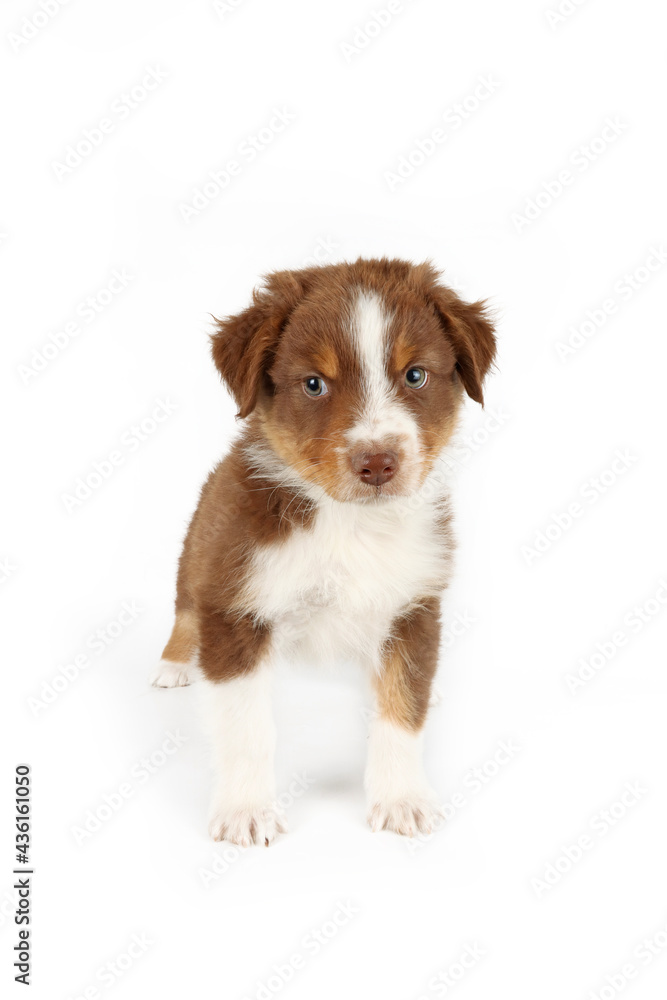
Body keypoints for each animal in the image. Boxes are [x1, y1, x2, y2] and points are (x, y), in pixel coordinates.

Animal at [151, 258, 496, 844]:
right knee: (184, 609)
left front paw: (401, 799)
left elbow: (401, 709)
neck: (349, 524)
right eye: (314, 384)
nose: (377, 463)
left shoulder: (413, 604)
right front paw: (246, 812)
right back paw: (173, 665)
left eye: (415, 375)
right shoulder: (235, 602)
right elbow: (245, 727)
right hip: (197, 553)